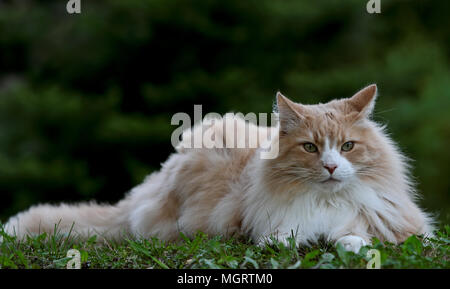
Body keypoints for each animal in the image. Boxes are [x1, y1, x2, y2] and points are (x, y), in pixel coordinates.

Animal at [2, 84, 432, 252]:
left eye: (347, 147)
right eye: (310, 147)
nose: (329, 167)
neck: (324, 203)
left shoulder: (392, 224)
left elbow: (354, 237)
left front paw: (349, 242)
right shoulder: (263, 221)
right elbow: (282, 237)